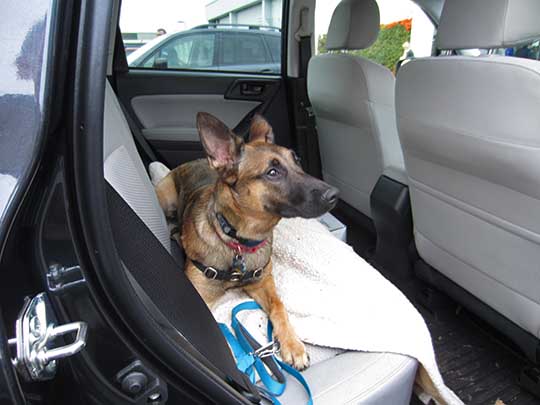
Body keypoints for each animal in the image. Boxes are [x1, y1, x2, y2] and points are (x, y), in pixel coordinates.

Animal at [153, 111, 338, 370]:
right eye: (272, 172)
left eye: (297, 160)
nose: (335, 195)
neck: (238, 241)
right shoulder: (200, 297)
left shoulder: (263, 283)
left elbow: (279, 306)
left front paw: (292, 344)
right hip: (166, 198)